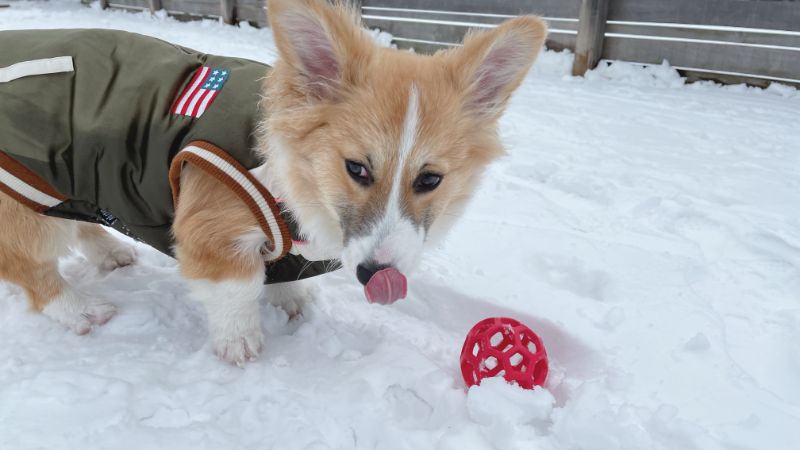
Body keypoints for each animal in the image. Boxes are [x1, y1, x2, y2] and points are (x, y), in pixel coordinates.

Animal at [0, 0, 548, 366]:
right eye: (357, 168)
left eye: (430, 178)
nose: (377, 275)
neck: (300, 180)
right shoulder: (212, 229)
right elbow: (238, 289)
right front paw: (237, 342)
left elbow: (281, 269)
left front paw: (290, 300)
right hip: (27, 195)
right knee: (30, 267)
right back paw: (80, 310)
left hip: (72, 179)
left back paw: (110, 253)